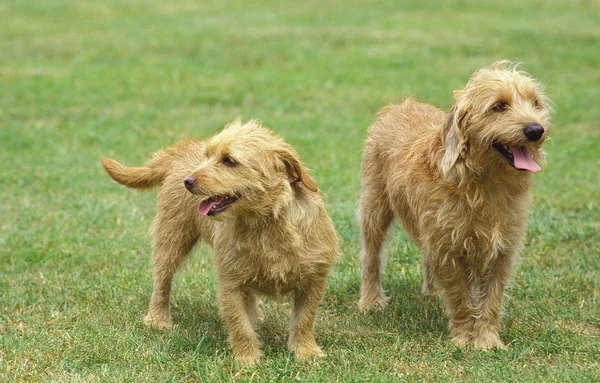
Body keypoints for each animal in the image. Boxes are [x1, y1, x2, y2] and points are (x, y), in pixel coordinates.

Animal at [101, 119, 340, 364]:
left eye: (229, 160)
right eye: (208, 155)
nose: (188, 181)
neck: (266, 222)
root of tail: (183, 150)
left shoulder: (314, 280)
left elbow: (304, 319)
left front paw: (306, 352)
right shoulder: (230, 282)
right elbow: (239, 324)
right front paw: (248, 359)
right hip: (171, 239)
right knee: (162, 282)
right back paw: (158, 320)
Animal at [358, 60, 552, 352]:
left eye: (535, 102)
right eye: (499, 106)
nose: (535, 130)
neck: (484, 185)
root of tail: (399, 105)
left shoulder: (502, 250)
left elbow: (491, 299)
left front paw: (487, 340)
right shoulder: (448, 249)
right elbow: (460, 297)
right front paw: (463, 337)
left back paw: (432, 291)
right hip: (374, 208)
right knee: (371, 255)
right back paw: (370, 300)